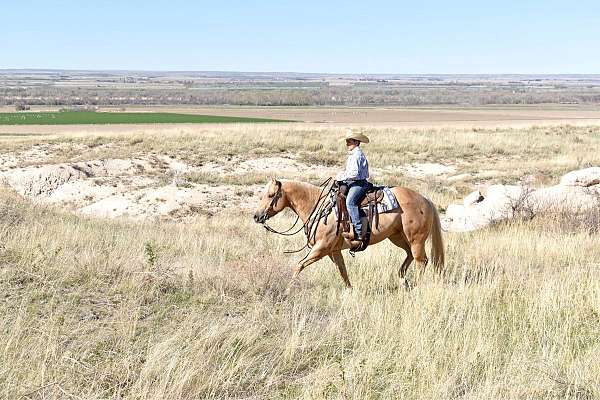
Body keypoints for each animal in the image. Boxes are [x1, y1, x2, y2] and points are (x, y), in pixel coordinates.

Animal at [251, 179, 442, 290]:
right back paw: (403, 279)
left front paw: (289, 288)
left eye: (271, 195)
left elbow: (299, 265)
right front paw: (350, 290)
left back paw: (416, 286)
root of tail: (425, 199)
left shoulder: (321, 248)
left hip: (415, 239)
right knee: (410, 256)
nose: (257, 216)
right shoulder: (333, 251)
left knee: (421, 261)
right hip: (397, 237)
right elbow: (342, 270)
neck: (319, 208)